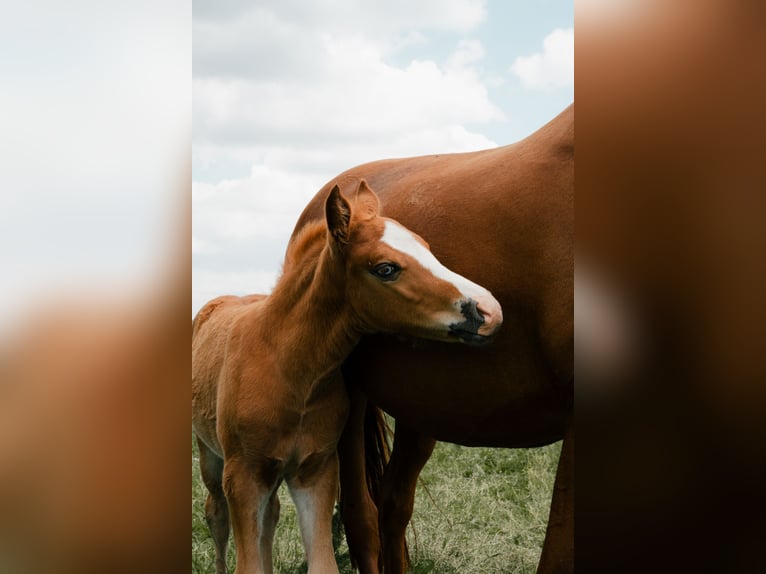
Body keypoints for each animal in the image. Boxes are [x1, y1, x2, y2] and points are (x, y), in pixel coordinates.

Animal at [191, 181, 503, 574]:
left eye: (427, 248)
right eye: (385, 268)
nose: (490, 310)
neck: (290, 371)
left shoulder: (316, 470)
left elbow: (322, 562)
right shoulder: (243, 475)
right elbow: (248, 564)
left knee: (270, 516)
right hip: (212, 458)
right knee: (216, 513)